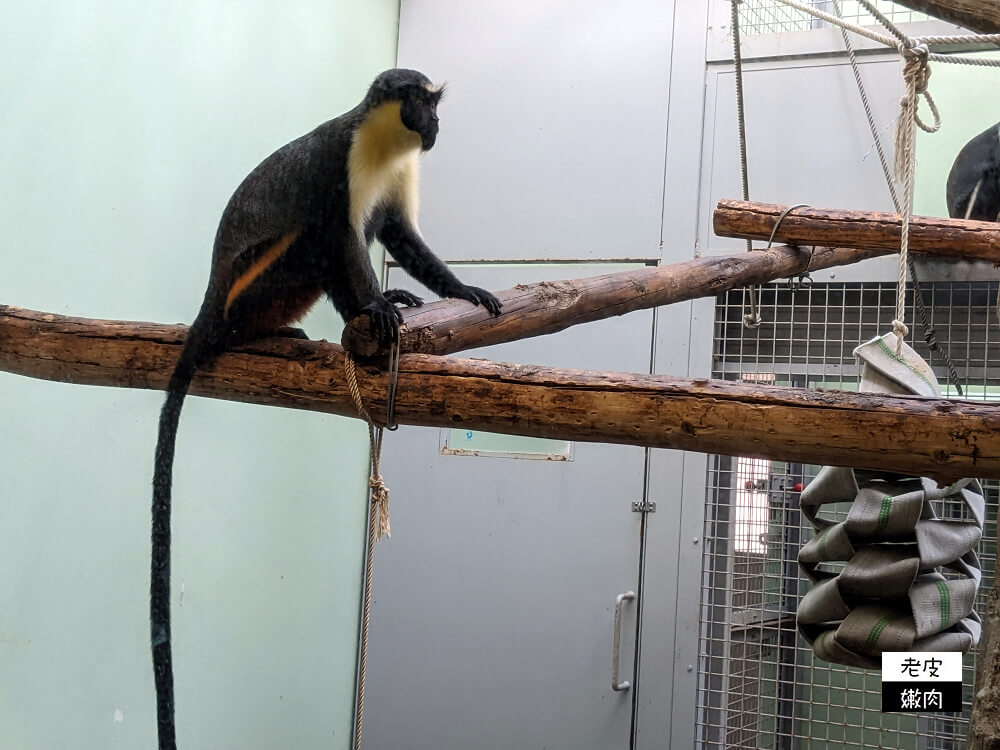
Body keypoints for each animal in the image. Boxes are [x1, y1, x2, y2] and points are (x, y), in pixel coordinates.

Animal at [150, 70, 500, 750]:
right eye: (418, 102)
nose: (434, 126)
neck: (384, 143)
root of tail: (212, 303)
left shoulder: (398, 181)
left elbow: (401, 238)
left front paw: (458, 289)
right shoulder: (337, 167)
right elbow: (338, 239)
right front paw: (376, 309)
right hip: (252, 284)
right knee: (311, 241)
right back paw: (263, 336)